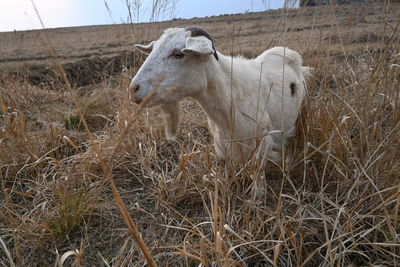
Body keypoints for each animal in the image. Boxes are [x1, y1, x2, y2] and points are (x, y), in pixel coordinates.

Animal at [130, 26, 310, 191]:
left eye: (178, 54)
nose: (134, 89)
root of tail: (288, 54)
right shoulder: (223, 144)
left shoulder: (262, 141)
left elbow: (257, 172)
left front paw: (256, 198)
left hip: (298, 118)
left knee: (292, 144)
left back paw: (288, 169)